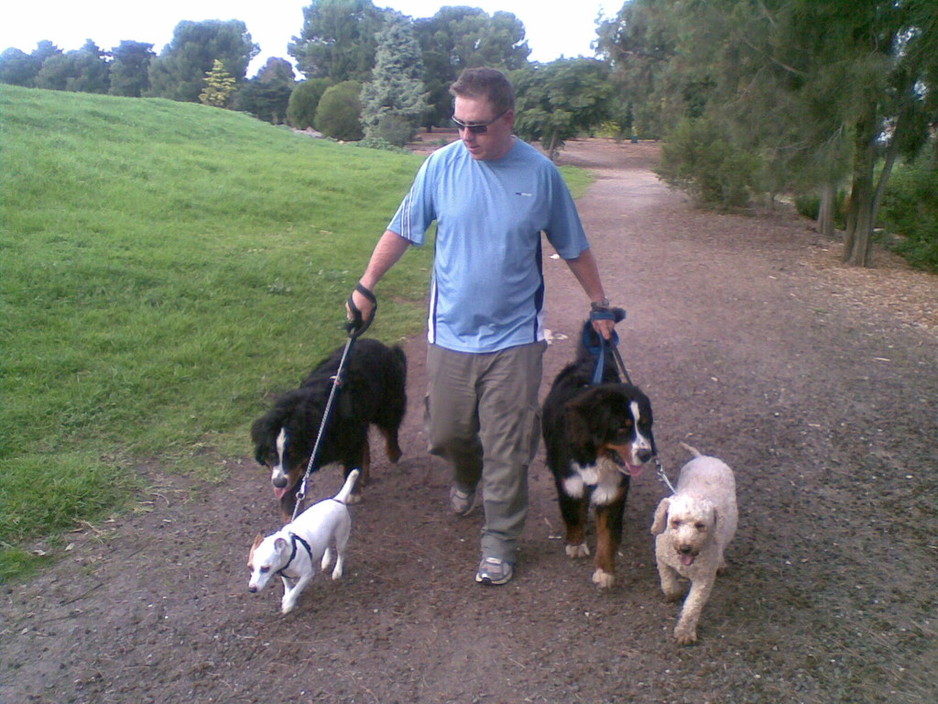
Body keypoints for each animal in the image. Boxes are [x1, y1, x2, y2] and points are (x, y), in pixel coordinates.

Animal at [250, 338, 408, 520]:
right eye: (271, 454)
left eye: (294, 453)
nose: (279, 482)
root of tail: (380, 345)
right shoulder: (294, 469)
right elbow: (291, 497)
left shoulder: (349, 440)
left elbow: (351, 465)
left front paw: (353, 493)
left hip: (387, 404)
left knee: (390, 430)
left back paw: (393, 454)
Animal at [540, 320, 652, 588]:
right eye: (622, 427)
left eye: (644, 425)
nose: (646, 454)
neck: (594, 456)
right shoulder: (569, 481)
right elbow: (572, 513)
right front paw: (576, 543)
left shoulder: (612, 490)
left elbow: (608, 536)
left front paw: (604, 571)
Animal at [652, 442, 732, 648]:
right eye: (675, 522)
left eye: (700, 525)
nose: (685, 548)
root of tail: (704, 457)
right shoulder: (662, 559)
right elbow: (667, 582)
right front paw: (673, 594)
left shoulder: (704, 578)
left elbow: (693, 605)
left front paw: (685, 632)